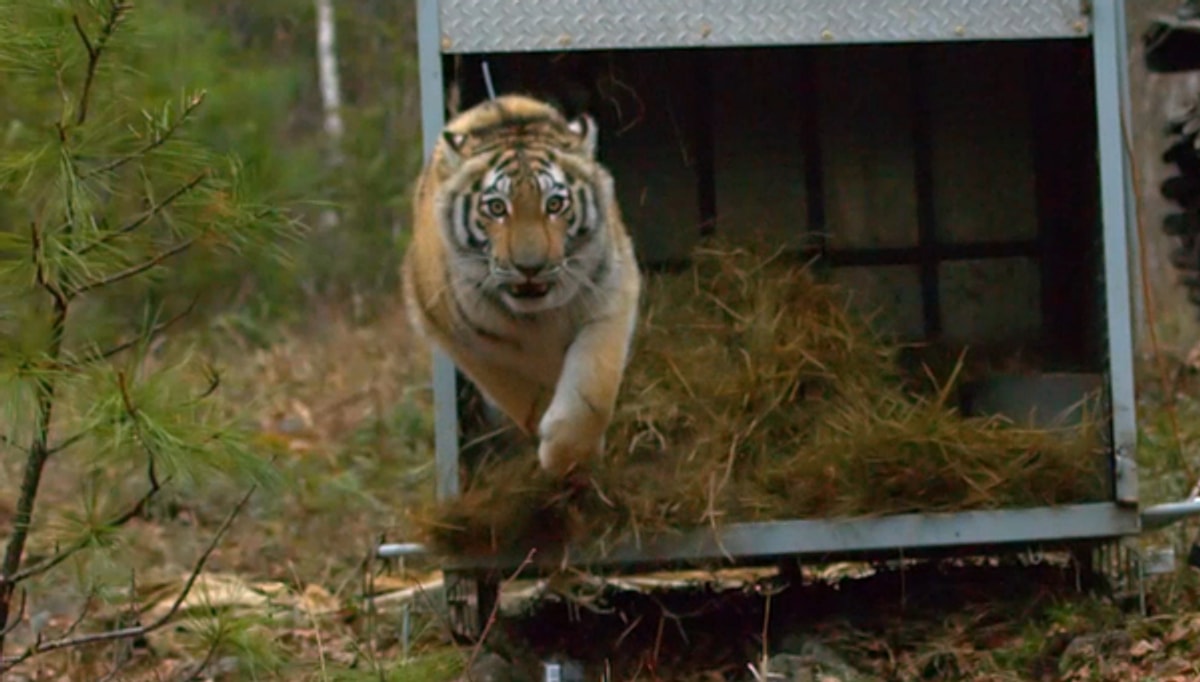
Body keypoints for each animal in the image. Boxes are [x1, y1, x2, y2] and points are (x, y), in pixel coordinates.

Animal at [400, 94, 648, 480]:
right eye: (497, 208)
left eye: (555, 204)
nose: (530, 267)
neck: (538, 317)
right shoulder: (452, 331)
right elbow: (517, 391)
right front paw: (549, 437)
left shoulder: (611, 296)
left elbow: (591, 393)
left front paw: (569, 457)